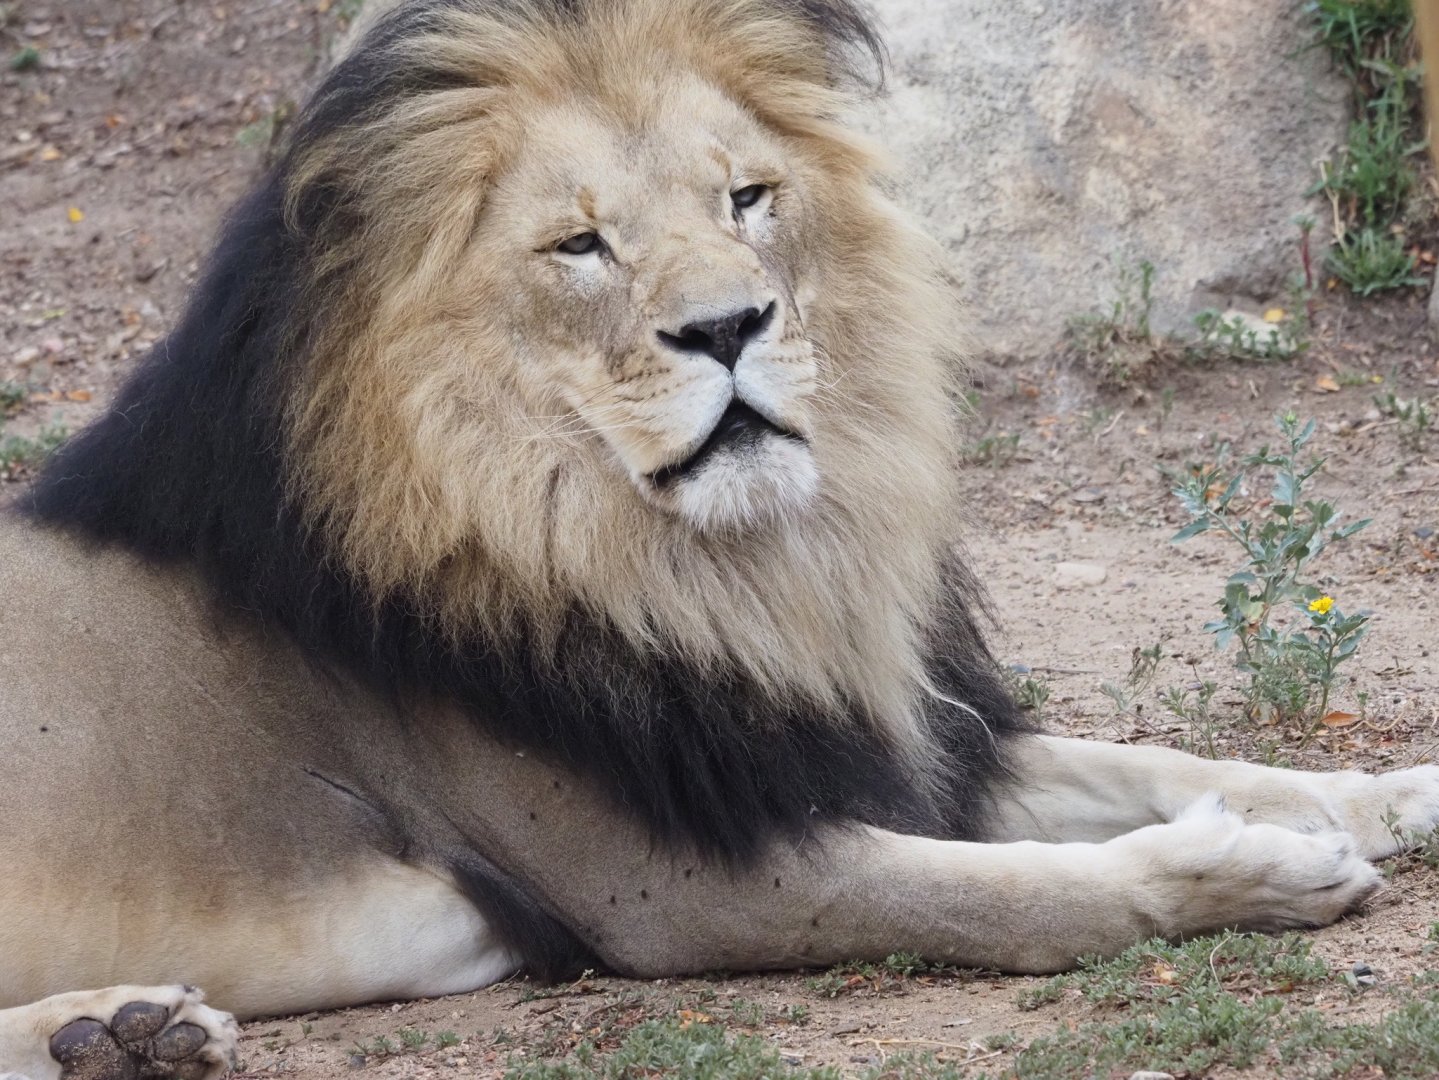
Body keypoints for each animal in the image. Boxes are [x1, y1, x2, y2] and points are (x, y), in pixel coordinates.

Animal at [2, 1, 1437, 1077]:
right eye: (579, 243)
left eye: (746, 198)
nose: (728, 326)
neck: (710, 570)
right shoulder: (670, 882)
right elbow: (1020, 893)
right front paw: (1253, 873)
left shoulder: (843, 741)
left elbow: (1167, 763)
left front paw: (1387, 796)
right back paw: (115, 1029)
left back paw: (126, 1032)